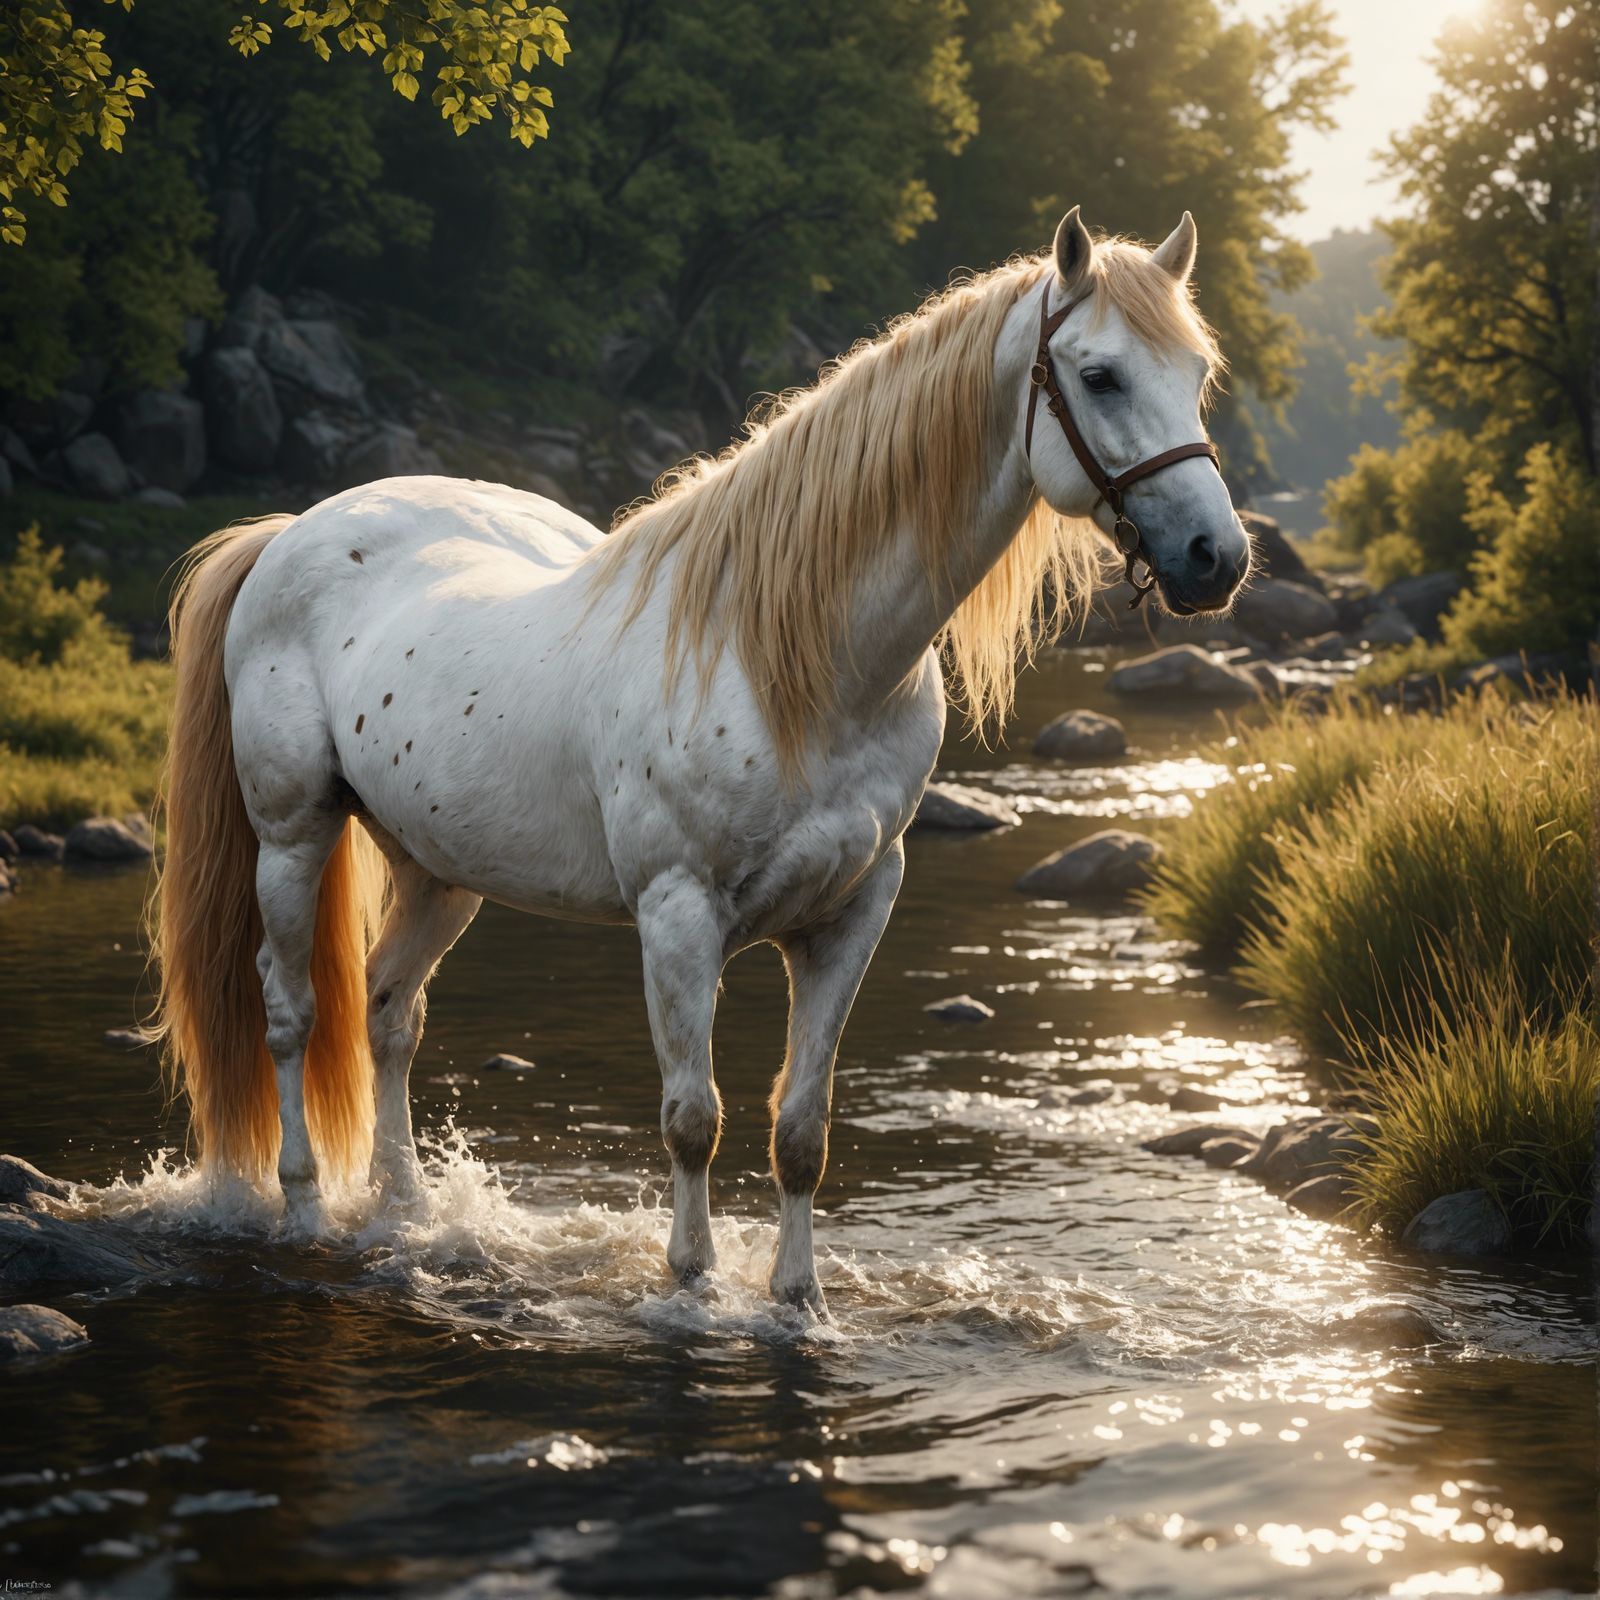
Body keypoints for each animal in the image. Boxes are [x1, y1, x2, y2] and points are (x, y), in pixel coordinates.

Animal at [149, 207, 1249, 1312]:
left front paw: (799, 1301)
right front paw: (689, 1286)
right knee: (290, 1011)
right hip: (293, 836)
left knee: (388, 1010)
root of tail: (295, 529)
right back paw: (301, 1208)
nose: (1219, 558)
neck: (789, 664)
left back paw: (406, 1211)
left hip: (438, 864)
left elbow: (801, 1129)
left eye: (1196, 371)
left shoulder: (854, 911)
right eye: (1100, 375)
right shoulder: (679, 914)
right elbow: (693, 1118)